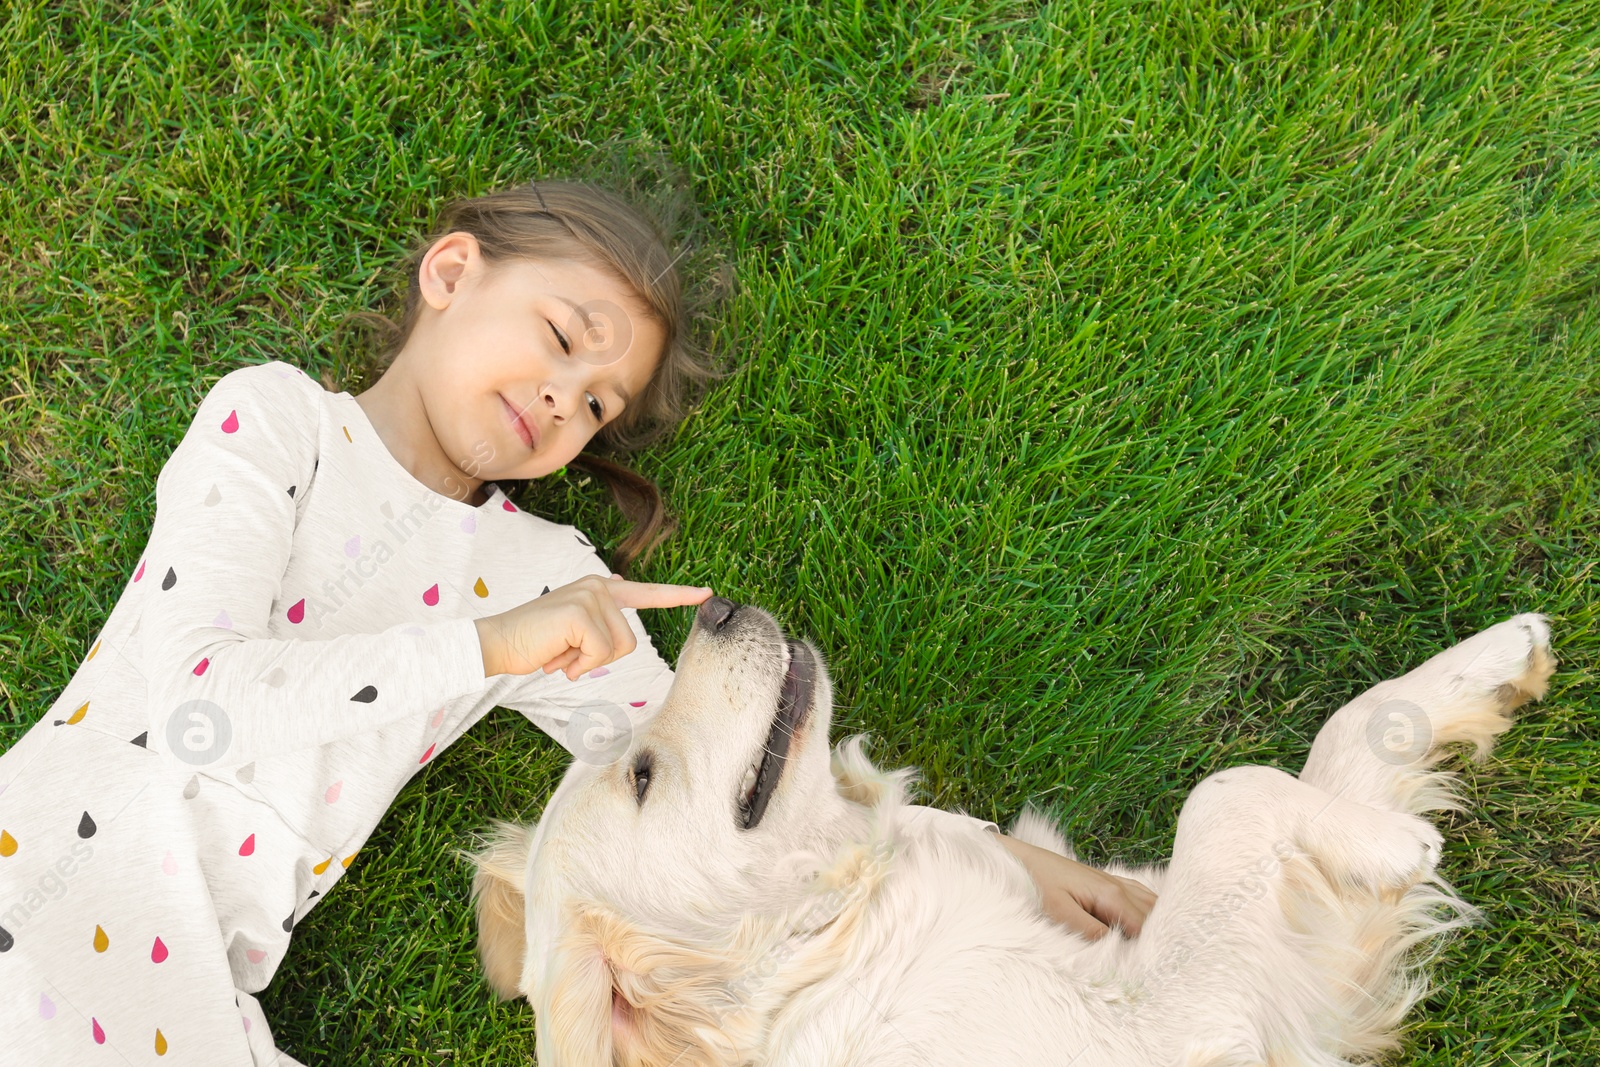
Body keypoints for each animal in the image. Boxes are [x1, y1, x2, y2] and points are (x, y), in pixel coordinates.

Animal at [467, 601, 1555, 1067]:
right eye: (643, 775)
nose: (721, 606)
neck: (819, 938)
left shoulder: (1304, 972)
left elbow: (1350, 729)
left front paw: (1496, 660)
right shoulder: (1171, 1018)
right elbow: (1228, 789)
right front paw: (1392, 844)